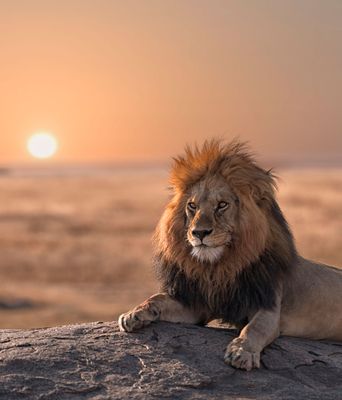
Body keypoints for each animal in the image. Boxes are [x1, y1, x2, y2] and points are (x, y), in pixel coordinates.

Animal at [118, 141, 342, 372]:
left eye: (222, 205)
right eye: (192, 206)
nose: (199, 233)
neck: (220, 267)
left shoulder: (269, 307)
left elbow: (254, 329)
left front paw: (241, 352)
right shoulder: (199, 305)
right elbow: (158, 298)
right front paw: (134, 313)